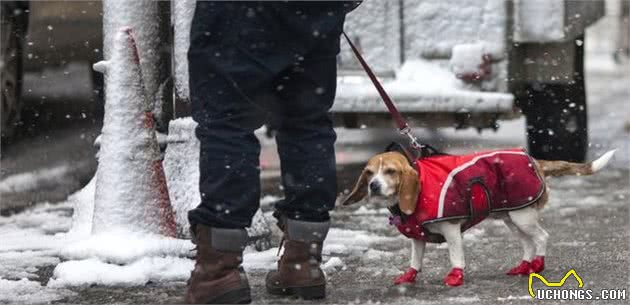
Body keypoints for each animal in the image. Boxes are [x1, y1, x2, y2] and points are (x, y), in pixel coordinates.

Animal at [346, 147, 616, 284]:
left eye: (390, 171)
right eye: (369, 172)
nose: (374, 186)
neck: (420, 187)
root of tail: (534, 160)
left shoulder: (452, 230)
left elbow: (456, 257)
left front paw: (455, 276)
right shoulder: (417, 238)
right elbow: (416, 259)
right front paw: (409, 275)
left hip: (524, 218)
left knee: (542, 237)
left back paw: (538, 264)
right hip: (513, 219)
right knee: (527, 243)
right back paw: (524, 266)